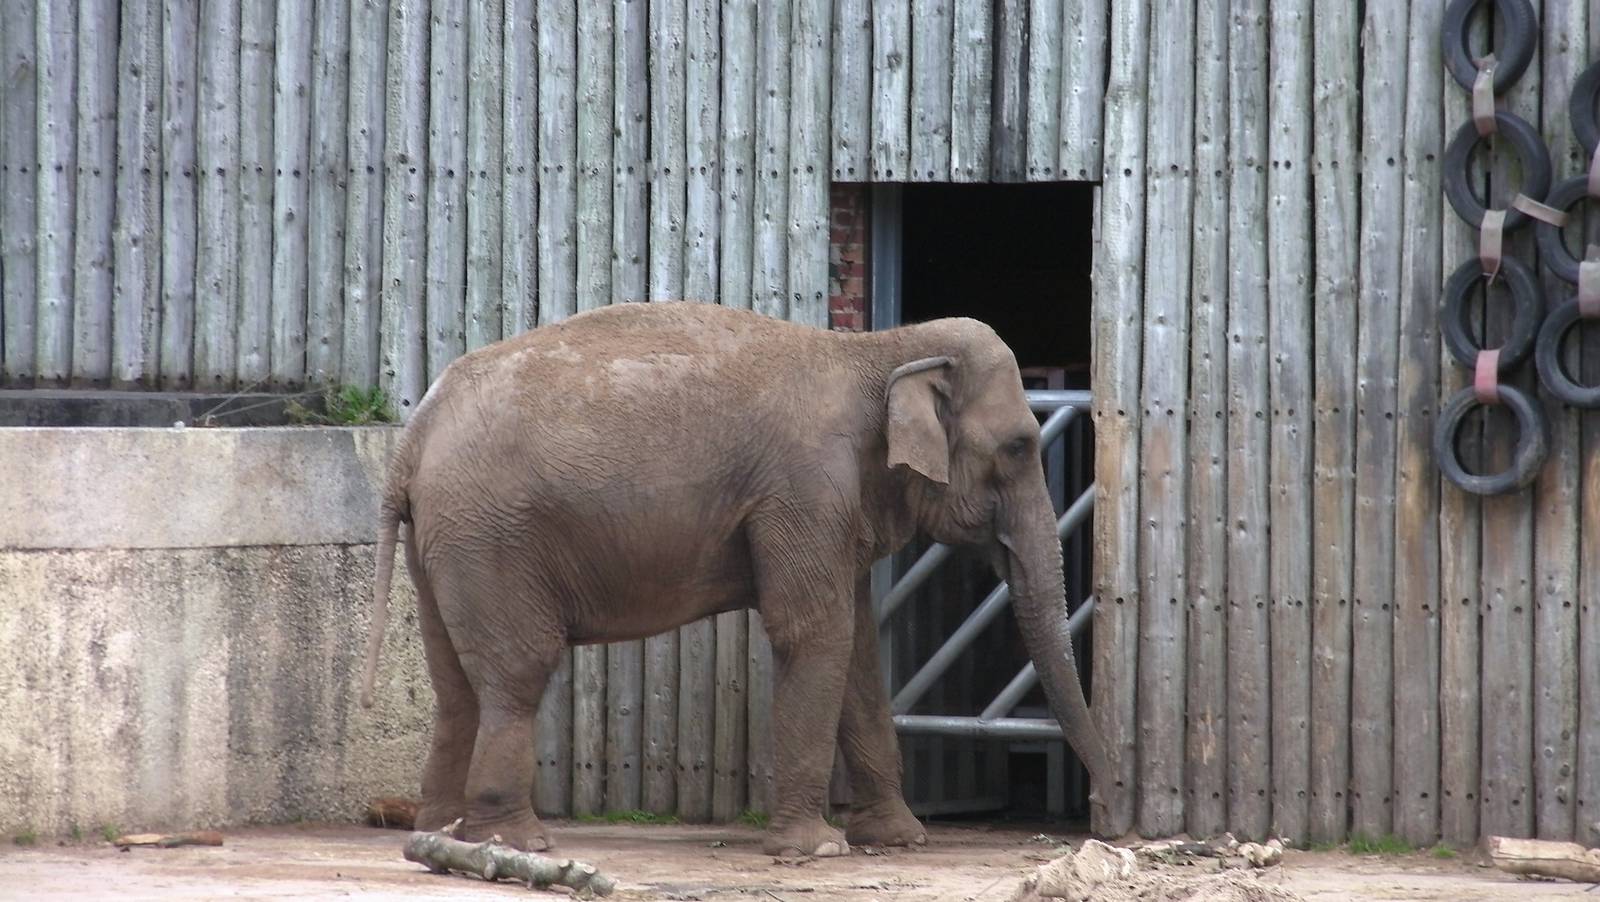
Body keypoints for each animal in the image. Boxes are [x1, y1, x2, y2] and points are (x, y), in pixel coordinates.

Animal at [358, 300, 1109, 858]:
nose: (1102, 817)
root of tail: (413, 439)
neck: (877, 349)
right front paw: (816, 850)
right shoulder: (805, 490)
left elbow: (858, 650)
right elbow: (815, 634)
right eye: (1020, 446)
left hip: (447, 540)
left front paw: (899, 839)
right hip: (493, 536)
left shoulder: (833, 507)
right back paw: (517, 843)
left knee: (455, 684)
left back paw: (440, 834)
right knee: (517, 673)